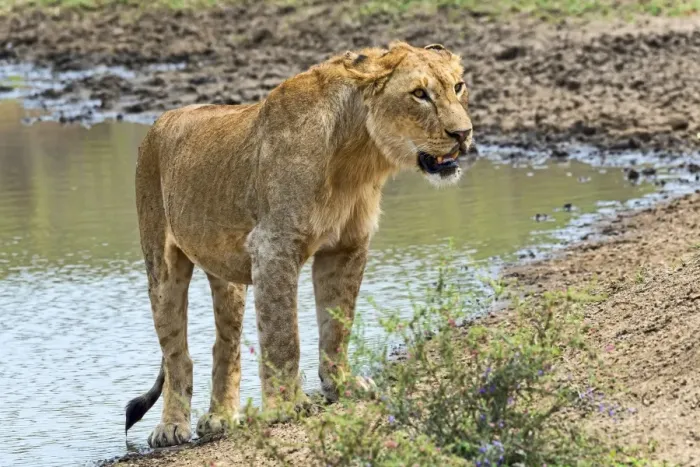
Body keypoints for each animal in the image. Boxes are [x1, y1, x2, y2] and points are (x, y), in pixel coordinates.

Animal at [124, 41, 474, 448]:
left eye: (458, 87)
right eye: (419, 94)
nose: (463, 133)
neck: (357, 156)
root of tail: (160, 120)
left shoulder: (345, 248)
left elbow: (337, 325)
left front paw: (340, 386)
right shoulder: (273, 247)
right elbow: (283, 335)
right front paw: (287, 406)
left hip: (226, 274)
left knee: (225, 344)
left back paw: (221, 419)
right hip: (160, 264)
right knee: (175, 352)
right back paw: (171, 427)